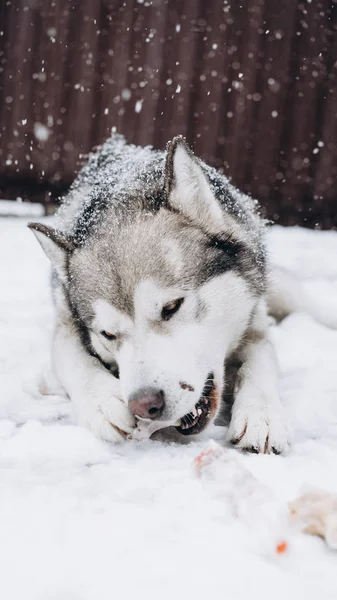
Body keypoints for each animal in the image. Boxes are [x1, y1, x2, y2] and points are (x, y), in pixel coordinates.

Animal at [28, 135, 334, 454]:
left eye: (172, 306)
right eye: (107, 335)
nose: (145, 404)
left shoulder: (254, 325)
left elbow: (259, 363)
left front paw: (261, 413)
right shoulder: (65, 325)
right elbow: (74, 360)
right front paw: (103, 402)